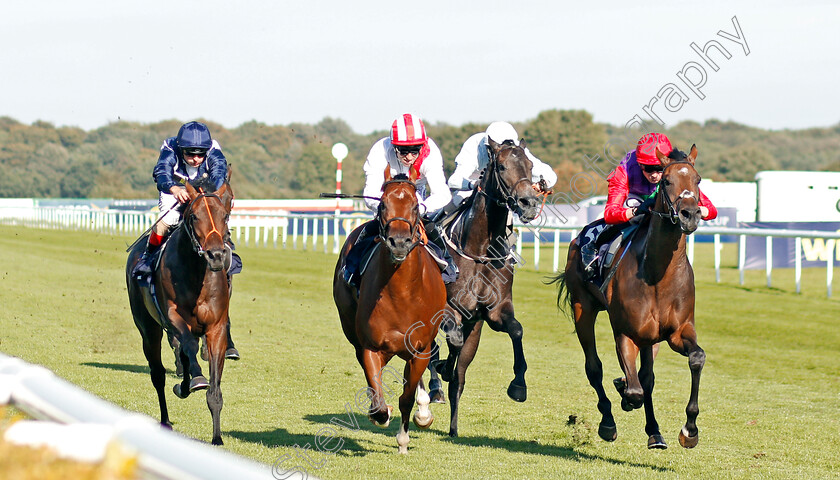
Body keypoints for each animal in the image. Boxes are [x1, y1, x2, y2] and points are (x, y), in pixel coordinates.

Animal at [126, 172, 235, 446]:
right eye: (194, 215)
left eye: (224, 214)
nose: (216, 255)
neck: (197, 274)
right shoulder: (172, 316)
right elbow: (189, 347)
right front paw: (196, 378)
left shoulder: (216, 327)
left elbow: (215, 387)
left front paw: (217, 438)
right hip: (148, 328)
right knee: (158, 373)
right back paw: (166, 418)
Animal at [334, 169, 450, 454]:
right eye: (383, 204)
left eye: (415, 206)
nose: (398, 242)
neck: (402, 293)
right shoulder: (371, 347)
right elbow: (377, 395)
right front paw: (380, 412)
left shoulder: (420, 349)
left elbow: (406, 398)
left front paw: (404, 439)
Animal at [430, 137, 540, 436]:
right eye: (501, 166)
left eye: (530, 165)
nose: (529, 202)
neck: (479, 250)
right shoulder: (449, 308)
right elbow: (452, 338)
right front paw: (442, 367)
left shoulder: (493, 312)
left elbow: (517, 330)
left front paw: (519, 386)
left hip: (476, 332)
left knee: (459, 378)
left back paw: (453, 427)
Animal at [552, 144, 708, 448]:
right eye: (666, 181)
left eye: (697, 180)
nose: (690, 214)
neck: (658, 275)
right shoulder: (625, 331)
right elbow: (633, 390)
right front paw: (623, 392)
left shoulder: (678, 331)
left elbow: (695, 358)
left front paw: (689, 430)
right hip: (583, 308)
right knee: (595, 368)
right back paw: (608, 420)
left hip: (651, 337)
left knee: (647, 377)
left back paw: (654, 431)